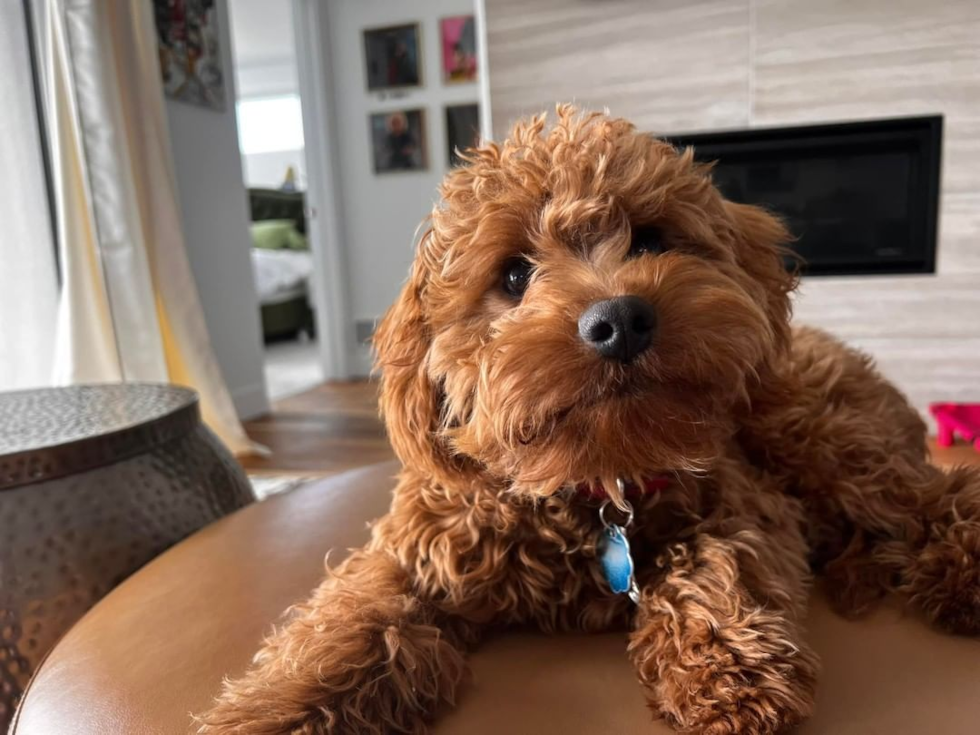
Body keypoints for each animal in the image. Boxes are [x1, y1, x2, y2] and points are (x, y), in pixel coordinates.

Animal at [199, 108, 980, 735]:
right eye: (513, 276)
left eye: (651, 239)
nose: (620, 320)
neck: (591, 479)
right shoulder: (412, 558)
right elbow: (344, 629)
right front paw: (269, 709)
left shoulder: (747, 502)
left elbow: (715, 562)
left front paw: (725, 664)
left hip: (811, 430)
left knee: (929, 494)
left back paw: (959, 568)